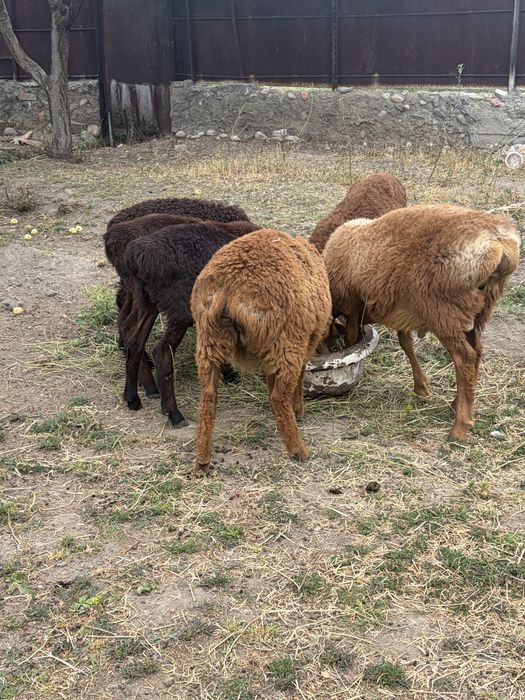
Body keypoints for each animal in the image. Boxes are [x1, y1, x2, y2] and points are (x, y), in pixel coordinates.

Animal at [123, 220, 260, 427]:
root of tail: (137, 256)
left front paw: (229, 374)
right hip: (180, 308)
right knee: (161, 352)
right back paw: (173, 413)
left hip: (148, 301)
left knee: (134, 341)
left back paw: (132, 398)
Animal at [191, 229, 332, 474]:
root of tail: (228, 287)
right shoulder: (306, 343)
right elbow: (298, 378)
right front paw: (298, 410)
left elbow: (270, 378)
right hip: (288, 341)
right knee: (279, 397)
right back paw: (299, 451)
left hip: (209, 341)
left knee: (208, 398)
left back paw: (202, 461)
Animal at [322, 204, 520, 442]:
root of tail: (499, 243)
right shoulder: (402, 308)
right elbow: (405, 342)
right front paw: (421, 387)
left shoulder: (354, 308)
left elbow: (353, 339)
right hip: (477, 311)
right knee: (477, 351)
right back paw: (458, 403)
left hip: (442, 311)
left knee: (464, 358)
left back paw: (459, 428)